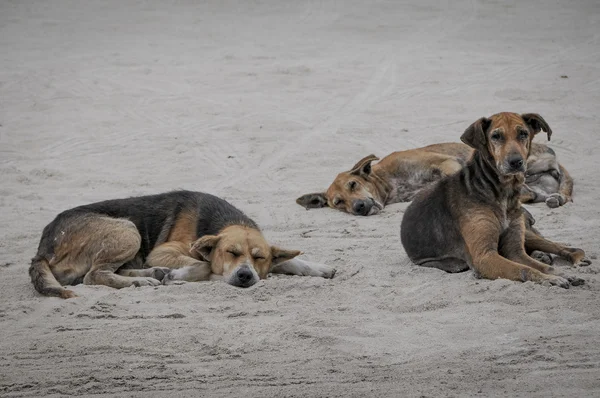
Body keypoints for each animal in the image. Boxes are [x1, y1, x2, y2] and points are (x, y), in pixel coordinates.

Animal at [29, 190, 338, 298]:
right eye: (231, 252)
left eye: (259, 258)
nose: (245, 276)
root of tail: (42, 247)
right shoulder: (162, 252)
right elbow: (204, 266)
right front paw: (184, 274)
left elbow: (292, 260)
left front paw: (319, 268)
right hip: (129, 230)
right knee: (94, 276)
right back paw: (140, 280)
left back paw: (146, 275)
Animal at [298, 131, 576, 216]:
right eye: (338, 202)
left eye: (353, 184)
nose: (359, 208)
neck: (388, 182)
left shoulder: (447, 163)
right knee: (537, 191)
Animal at [398, 113, 592, 288]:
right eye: (496, 136)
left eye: (523, 133)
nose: (516, 162)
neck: (501, 193)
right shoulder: (485, 257)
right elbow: (525, 269)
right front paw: (550, 279)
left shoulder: (515, 251)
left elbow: (540, 267)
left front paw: (558, 274)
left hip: (528, 234)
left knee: (571, 248)